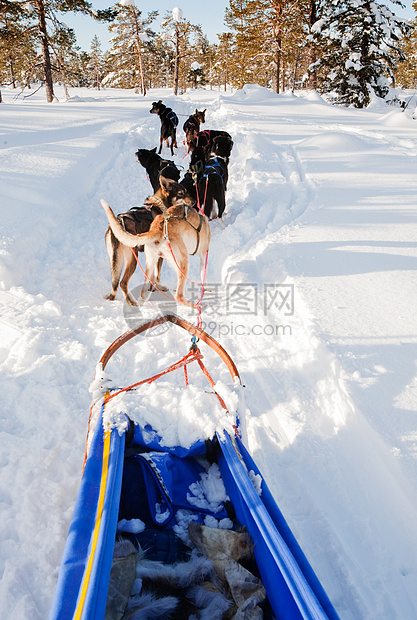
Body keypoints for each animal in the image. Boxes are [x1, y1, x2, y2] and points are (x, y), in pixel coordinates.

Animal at [102, 177, 210, 306]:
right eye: (180, 193)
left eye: (186, 191)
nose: (193, 201)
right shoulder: (162, 258)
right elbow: (158, 274)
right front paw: (158, 286)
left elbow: (153, 275)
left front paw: (152, 287)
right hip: (134, 259)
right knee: (123, 282)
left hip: (115, 261)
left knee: (115, 284)